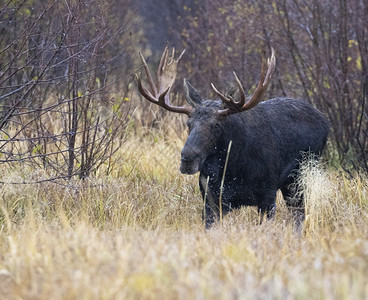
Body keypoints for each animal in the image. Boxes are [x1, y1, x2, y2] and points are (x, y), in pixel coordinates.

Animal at [137, 47, 330, 229]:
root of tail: (325, 121)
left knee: (299, 214)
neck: (233, 169)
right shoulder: (211, 198)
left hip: (301, 174)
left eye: (216, 125)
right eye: (188, 124)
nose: (187, 159)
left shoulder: (267, 194)